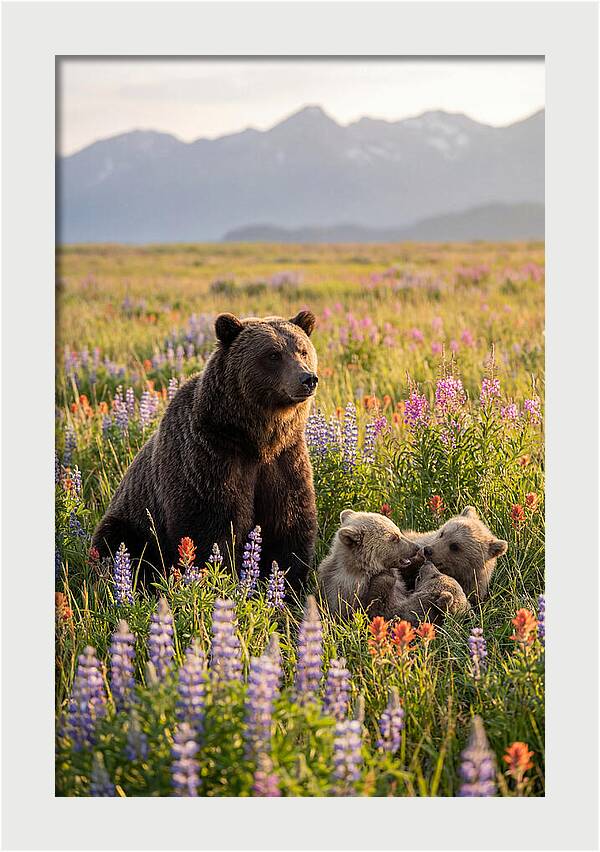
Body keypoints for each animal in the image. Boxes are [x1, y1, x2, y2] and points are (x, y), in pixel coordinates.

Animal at [92, 310, 319, 593]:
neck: (255, 439)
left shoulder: (285, 460)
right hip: (132, 522)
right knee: (119, 545)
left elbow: (289, 524)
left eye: (302, 350)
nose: (307, 378)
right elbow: (210, 528)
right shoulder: (209, 458)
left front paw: (289, 587)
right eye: (273, 354)